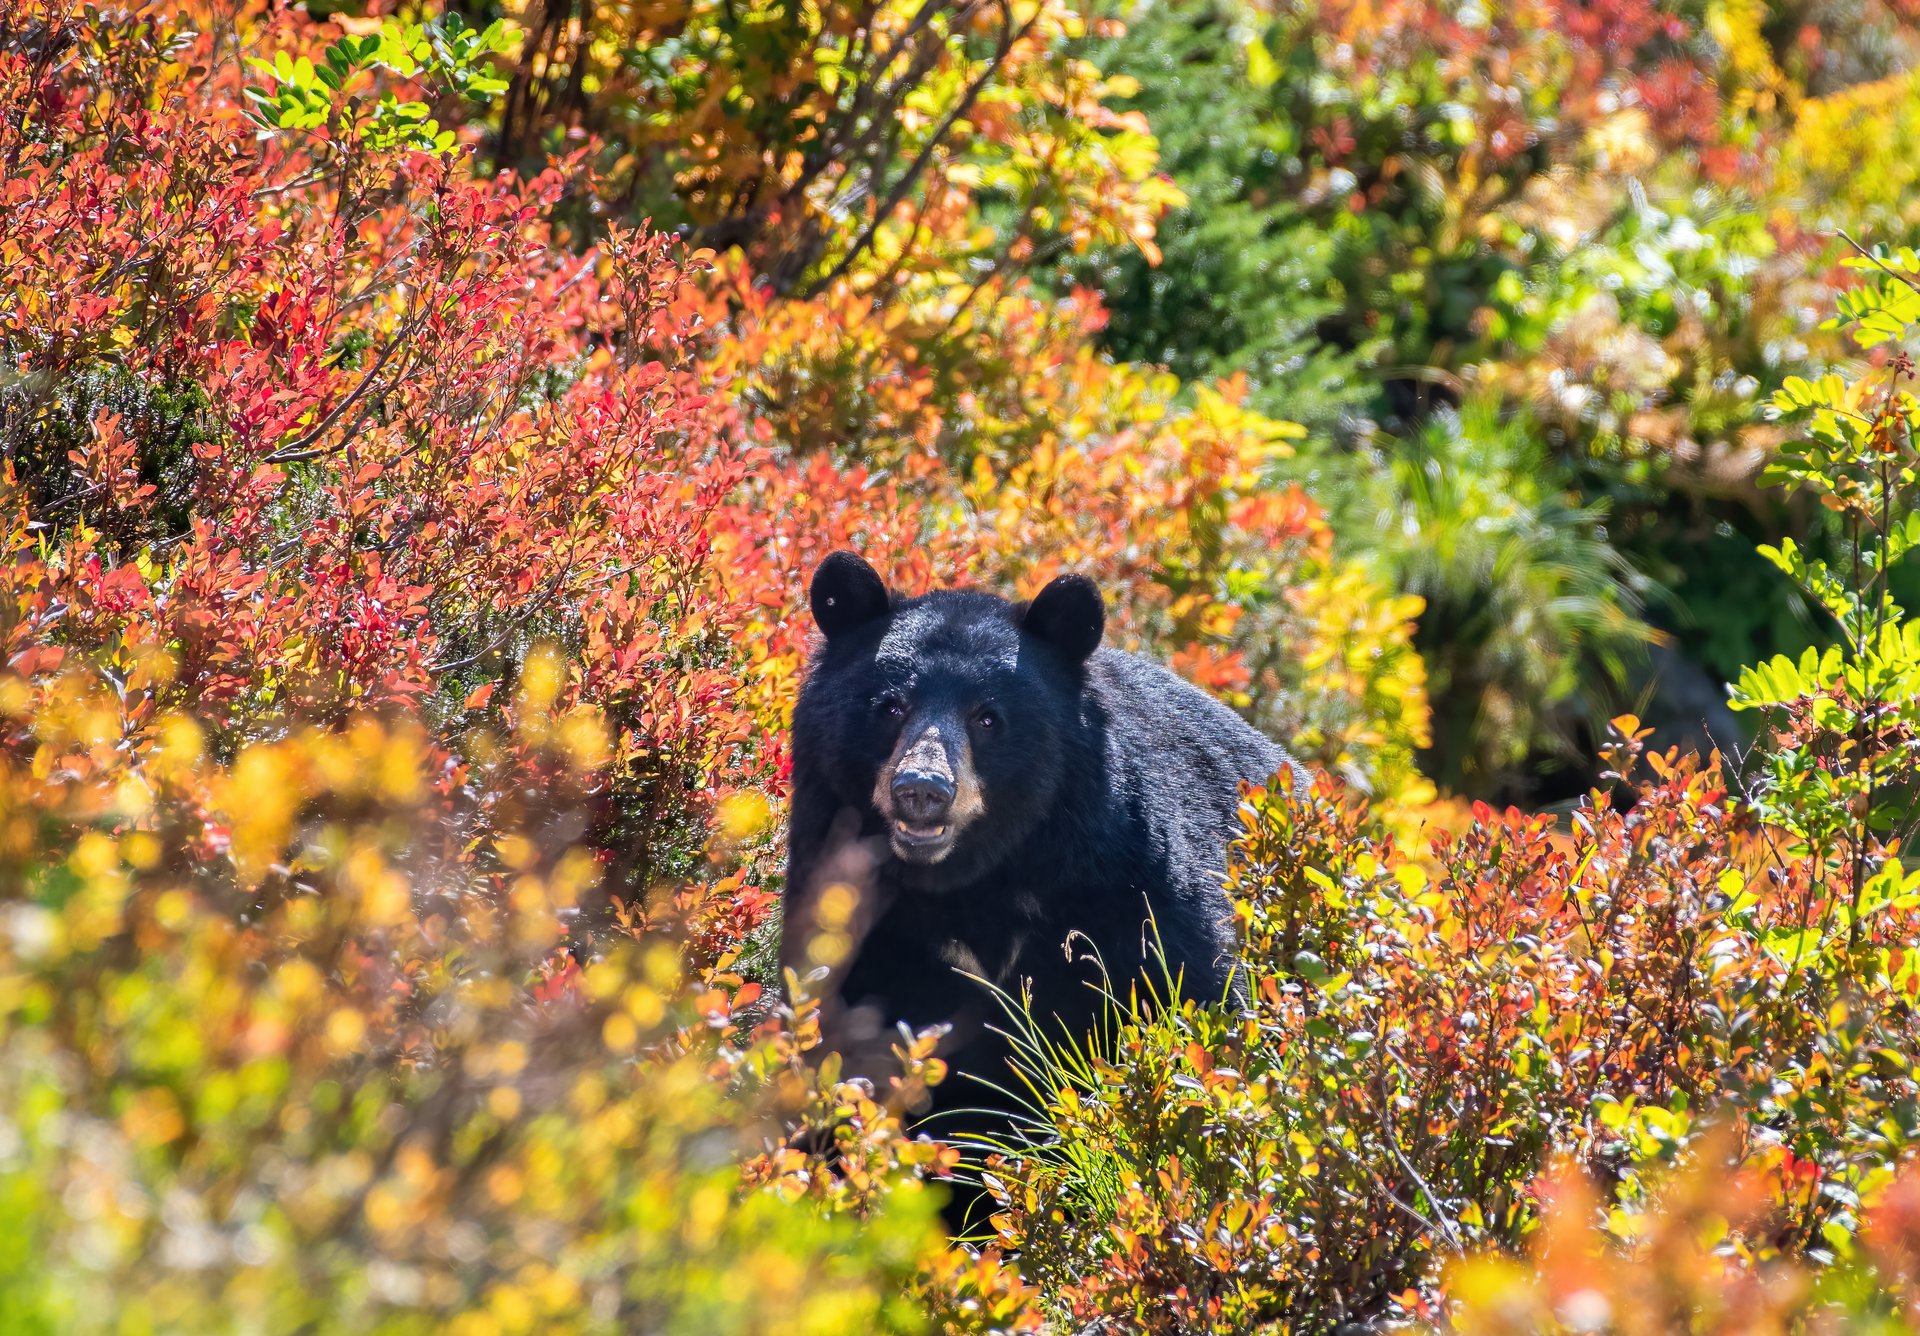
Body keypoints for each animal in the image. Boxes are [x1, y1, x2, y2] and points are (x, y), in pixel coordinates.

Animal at [780, 551, 1305, 1223]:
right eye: (890, 706)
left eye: (987, 717)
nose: (921, 790)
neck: (979, 881)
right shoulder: (865, 926)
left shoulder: (1128, 893)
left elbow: (1193, 1006)